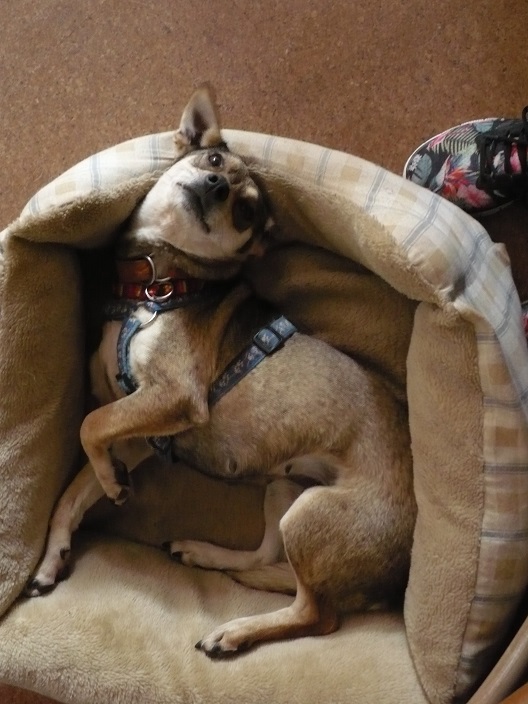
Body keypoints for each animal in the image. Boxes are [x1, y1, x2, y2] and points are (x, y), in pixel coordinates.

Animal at [26, 87, 416, 658]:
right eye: (212, 161)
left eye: (246, 210)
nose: (216, 185)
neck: (155, 286)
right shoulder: (140, 431)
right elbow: (73, 492)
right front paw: (56, 552)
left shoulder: (172, 395)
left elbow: (88, 425)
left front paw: (110, 482)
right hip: (284, 491)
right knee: (267, 560)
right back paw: (208, 555)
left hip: (311, 514)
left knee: (316, 614)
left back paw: (233, 632)